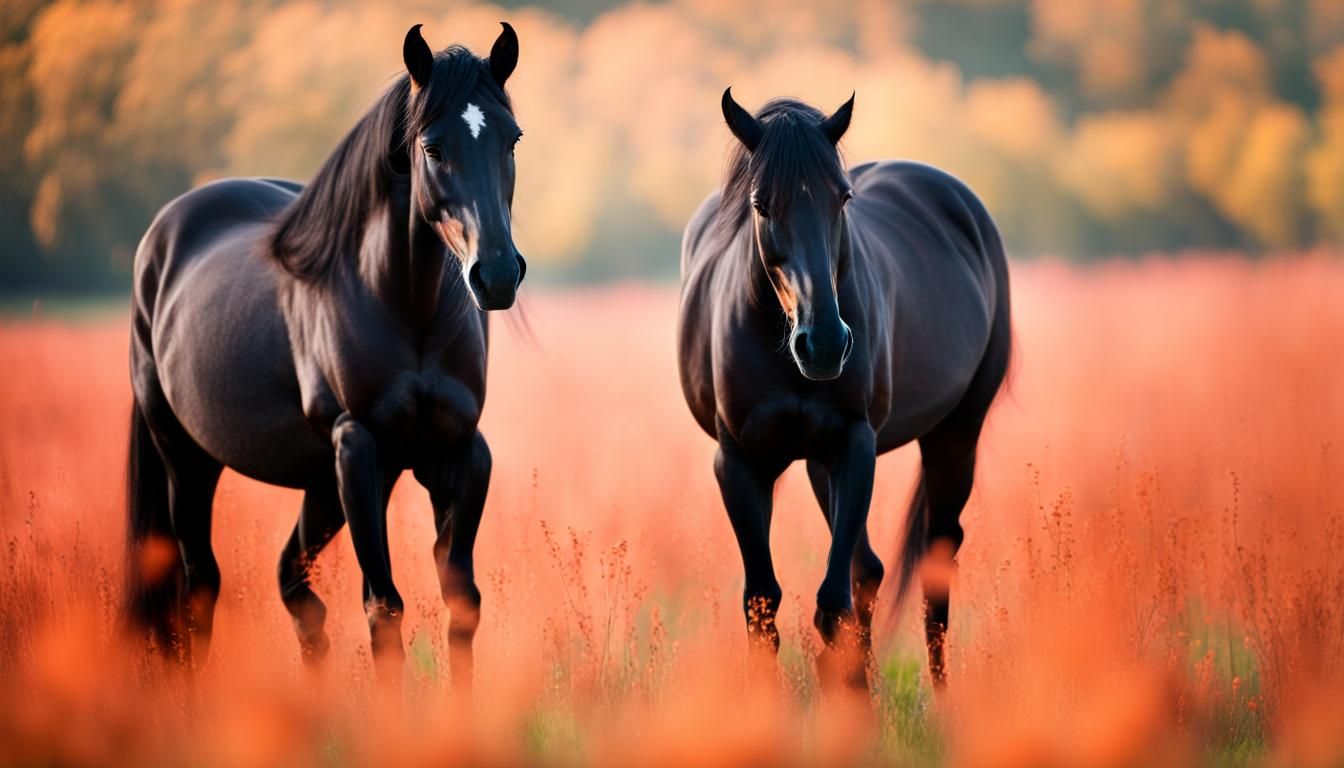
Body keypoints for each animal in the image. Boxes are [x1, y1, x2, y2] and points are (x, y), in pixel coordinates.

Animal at [124, 23, 525, 689]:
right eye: (433, 147)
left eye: (511, 139)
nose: (494, 275)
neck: (406, 307)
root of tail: (163, 237)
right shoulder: (358, 449)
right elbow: (383, 607)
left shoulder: (461, 453)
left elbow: (462, 604)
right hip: (186, 457)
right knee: (199, 587)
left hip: (320, 485)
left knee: (294, 587)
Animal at [677, 89, 1011, 690]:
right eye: (762, 204)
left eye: (843, 198)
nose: (826, 344)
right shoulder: (739, 463)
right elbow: (763, 604)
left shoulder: (855, 444)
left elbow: (833, 604)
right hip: (816, 463)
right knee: (869, 572)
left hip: (954, 436)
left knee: (934, 563)